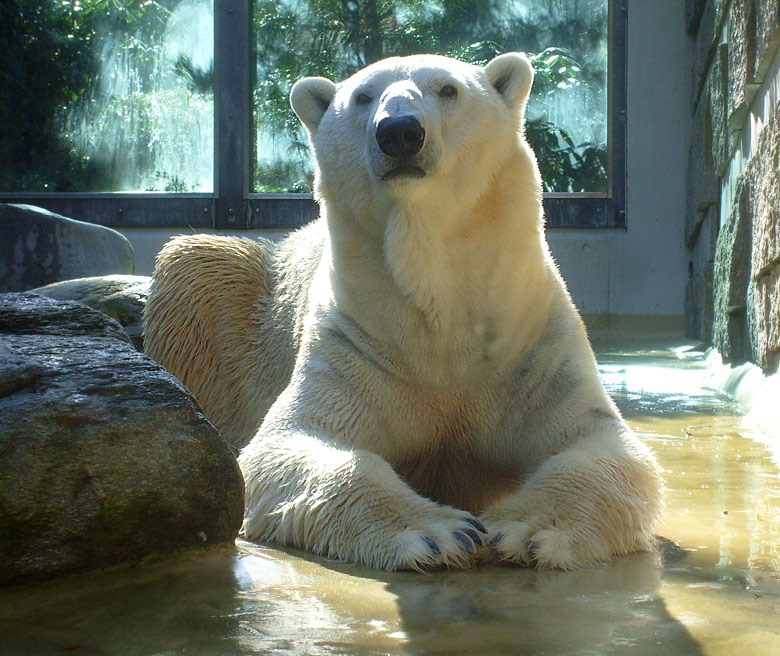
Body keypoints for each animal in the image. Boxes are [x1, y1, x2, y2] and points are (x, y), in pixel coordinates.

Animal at [143, 52, 660, 568]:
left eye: (448, 89)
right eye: (363, 96)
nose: (399, 132)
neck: (440, 308)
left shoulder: (529, 342)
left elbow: (602, 447)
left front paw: (520, 528)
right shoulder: (359, 338)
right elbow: (293, 443)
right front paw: (441, 531)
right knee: (198, 267)